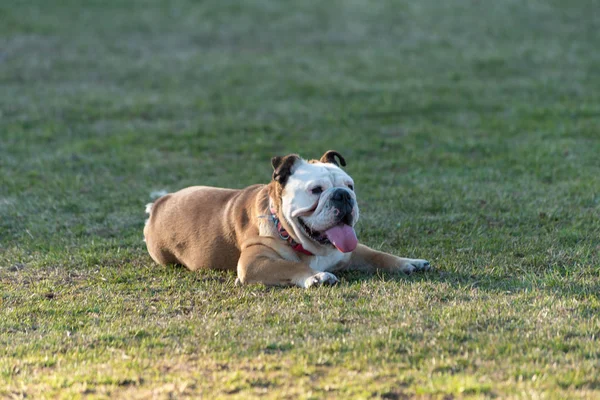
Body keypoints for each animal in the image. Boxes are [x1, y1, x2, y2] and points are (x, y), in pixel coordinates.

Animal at [143, 151, 428, 288]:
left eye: (350, 186)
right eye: (316, 190)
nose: (343, 195)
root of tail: (159, 203)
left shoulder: (350, 251)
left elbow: (378, 255)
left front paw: (408, 262)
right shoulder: (254, 263)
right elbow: (289, 267)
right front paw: (316, 276)